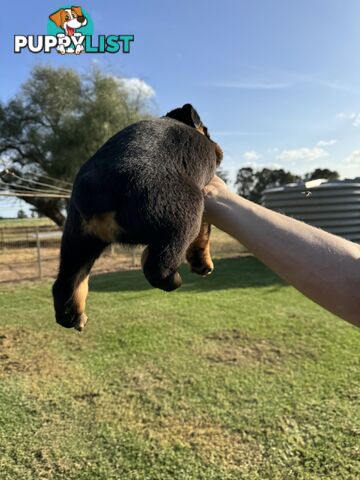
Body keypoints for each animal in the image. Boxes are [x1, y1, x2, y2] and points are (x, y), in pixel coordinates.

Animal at [52, 104, 222, 330]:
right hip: (184, 212)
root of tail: (96, 191)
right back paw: (169, 275)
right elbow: (205, 230)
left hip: (77, 239)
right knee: (157, 267)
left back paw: (73, 316)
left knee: (67, 282)